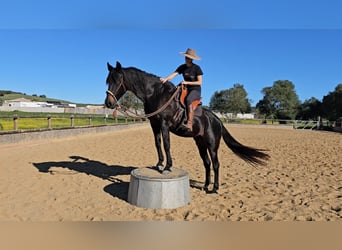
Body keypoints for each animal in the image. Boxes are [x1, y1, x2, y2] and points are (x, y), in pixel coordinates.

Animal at [105, 61, 270, 193]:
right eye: (108, 80)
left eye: (118, 79)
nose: (109, 103)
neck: (156, 94)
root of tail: (216, 120)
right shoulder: (154, 124)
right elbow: (157, 143)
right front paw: (159, 164)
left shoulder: (164, 124)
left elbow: (166, 144)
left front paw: (167, 167)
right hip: (200, 143)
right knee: (207, 163)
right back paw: (205, 186)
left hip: (212, 145)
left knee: (216, 164)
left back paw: (214, 188)